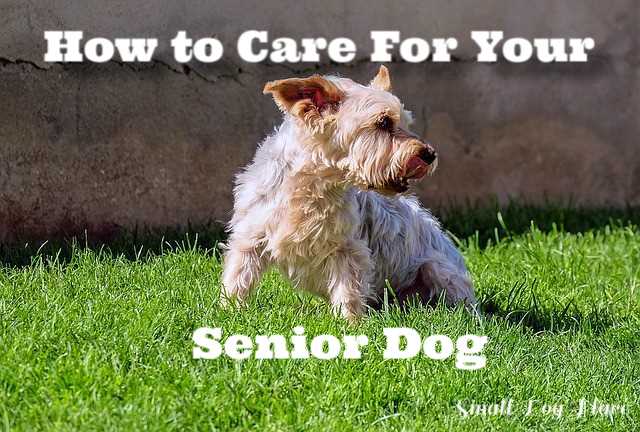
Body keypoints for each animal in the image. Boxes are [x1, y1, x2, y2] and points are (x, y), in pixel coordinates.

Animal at [220, 66, 476, 318]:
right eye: (384, 122)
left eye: (405, 123)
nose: (429, 154)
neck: (311, 185)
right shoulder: (251, 234)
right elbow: (238, 275)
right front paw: (230, 310)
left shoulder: (347, 249)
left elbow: (348, 289)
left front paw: (350, 323)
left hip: (437, 269)